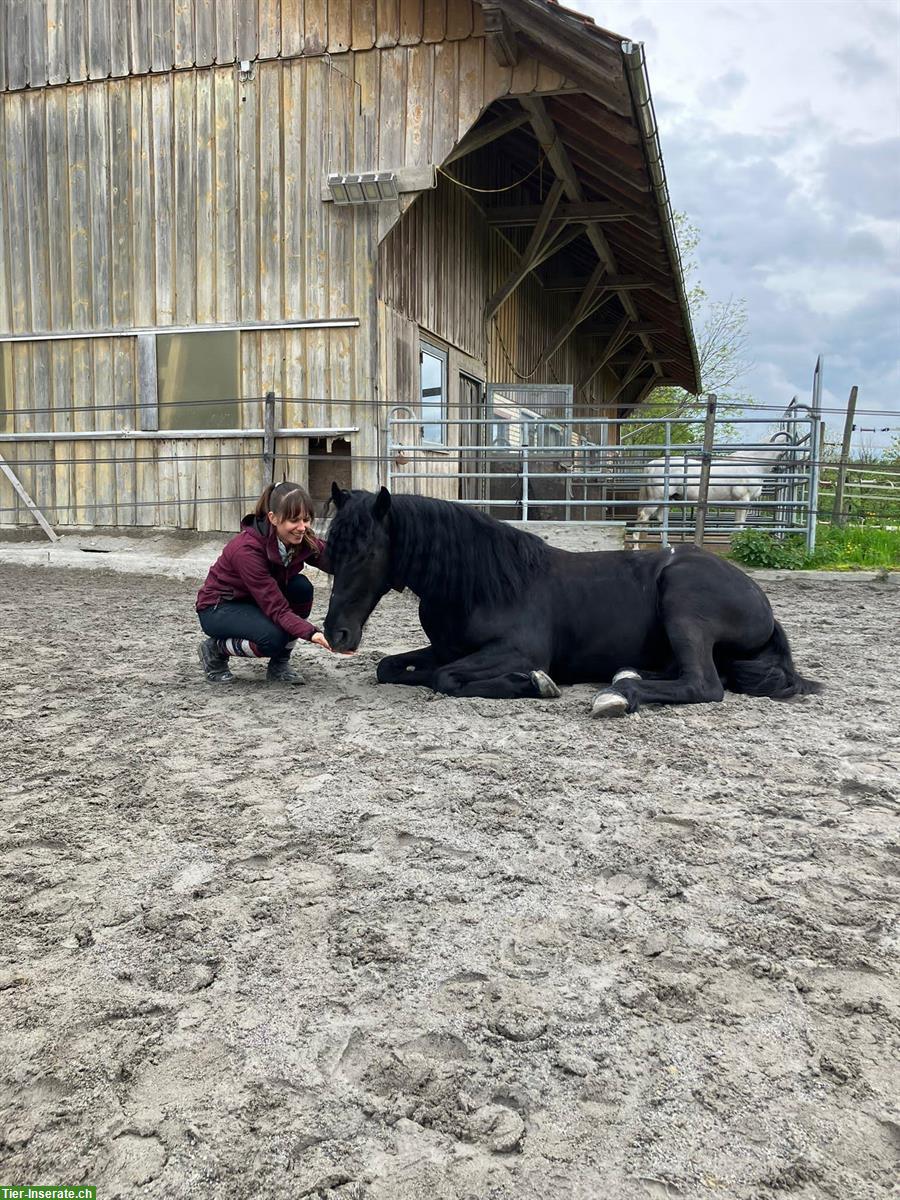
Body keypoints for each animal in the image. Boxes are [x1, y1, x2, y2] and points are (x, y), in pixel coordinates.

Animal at [324, 484, 825, 715]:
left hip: (683, 605)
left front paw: (531, 684)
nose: (337, 634)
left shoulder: (519, 651)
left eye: (367, 552)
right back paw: (626, 674)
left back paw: (618, 694)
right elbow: (392, 668)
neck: (482, 584)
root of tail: (761, 601)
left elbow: (446, 678)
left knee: (703, 684)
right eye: (330, 550)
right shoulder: (446, 648)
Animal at [638, 432, 792, 525]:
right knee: (643, 516)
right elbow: (738, 525)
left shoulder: (747, 503)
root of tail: (653, 464)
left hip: (666, 499)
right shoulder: (742, 500)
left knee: (660, 518)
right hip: (656, 498)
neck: (751, 465)